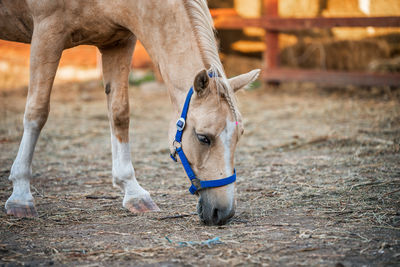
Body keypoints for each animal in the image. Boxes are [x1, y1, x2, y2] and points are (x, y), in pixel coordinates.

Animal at [0, 0, 260, 226]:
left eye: (239, 137)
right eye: (203, 138)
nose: (223, 212)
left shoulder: (119, 42)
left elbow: (119, 113)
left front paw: (133, 191)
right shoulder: (47, 32)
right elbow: (37, 111)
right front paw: (21, 196)